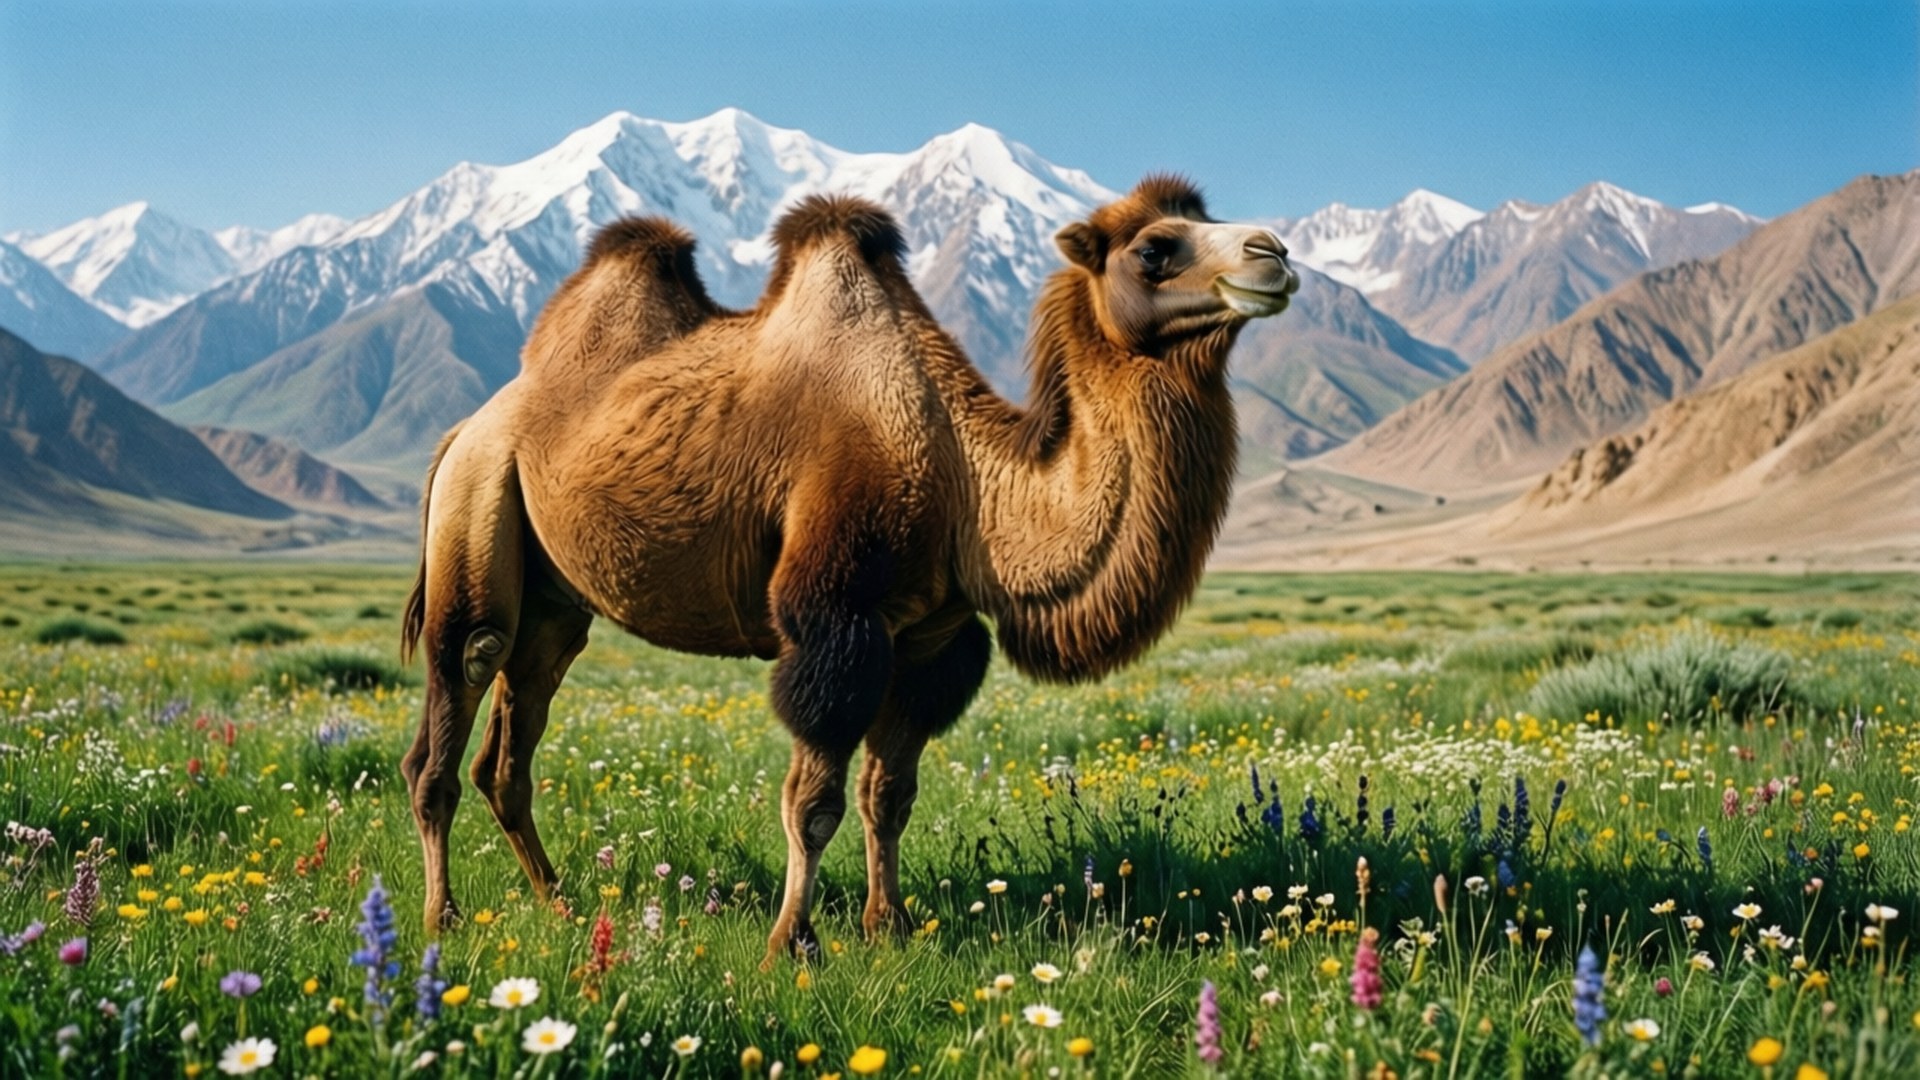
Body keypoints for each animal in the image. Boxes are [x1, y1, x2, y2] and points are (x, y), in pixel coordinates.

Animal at [399, 176, 1299, 963]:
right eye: (1154, 248)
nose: (1275, 253)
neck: (966, 480)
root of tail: (464, 427)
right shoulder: (837, 623)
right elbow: (815, 801)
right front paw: (790, 944)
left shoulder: (929, 642)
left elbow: (888, 797)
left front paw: (888, 927)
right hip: (478, 500)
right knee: (458, 692)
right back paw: (442, 917)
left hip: (556, 598)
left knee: (512, 741)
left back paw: (558, 902)